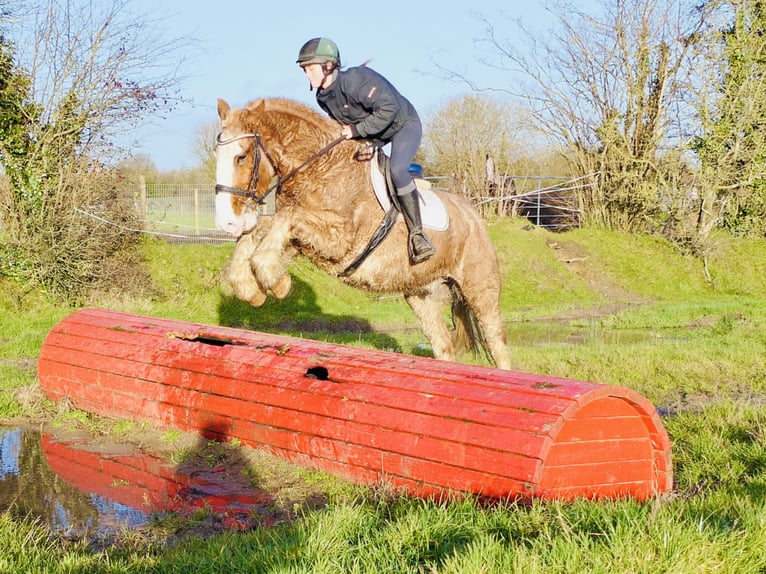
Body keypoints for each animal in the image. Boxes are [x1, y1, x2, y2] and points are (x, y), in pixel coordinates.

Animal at [214, 97, 512, 370]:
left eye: (241, 156)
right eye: (217, 154)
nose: (227, 222)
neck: (321, 168)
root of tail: (473, 214)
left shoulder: (339, 242)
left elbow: (285, 218)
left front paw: (277, 283)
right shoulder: (301, 240)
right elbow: (262, 228)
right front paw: (250, 287)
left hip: (480, 290)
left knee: (498, 346)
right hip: (421, 294)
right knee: (443, 345)